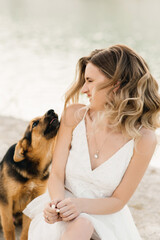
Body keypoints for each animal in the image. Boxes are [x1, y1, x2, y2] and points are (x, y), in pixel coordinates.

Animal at [0, 109, 60, 240]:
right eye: (35, 124)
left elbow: (27, 228)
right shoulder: (5, 199)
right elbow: (9, 227)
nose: (51, 110)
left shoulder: (32, 200)